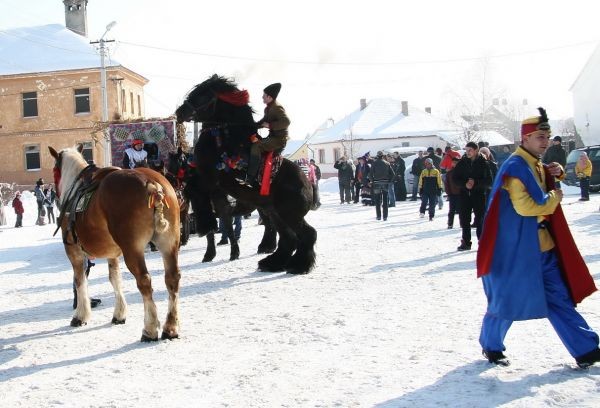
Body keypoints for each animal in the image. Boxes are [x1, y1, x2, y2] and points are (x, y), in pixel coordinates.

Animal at [49, 144, 181, 342]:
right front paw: (119, 314)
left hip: (133, 250)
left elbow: (80, 281)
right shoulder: (112, 253)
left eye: (54, 171)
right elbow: (115, 279)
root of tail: (151, 183)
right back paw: (170, 327)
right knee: (172, 278)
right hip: (169, 244)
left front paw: (80, 315)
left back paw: (149, 329)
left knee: (144, 281)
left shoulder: (74, 252)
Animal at [175, 74, 316, 274]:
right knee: (288, 238)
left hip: (289, 213)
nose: (179, 112)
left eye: (203, 95)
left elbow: (212, 206)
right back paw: (273, 262)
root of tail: (307, 183)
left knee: (307, 234)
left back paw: (299, 265)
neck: (227, 139)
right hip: (276, 212)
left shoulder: (211, 180)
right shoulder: (214, 186)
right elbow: (221, 215)